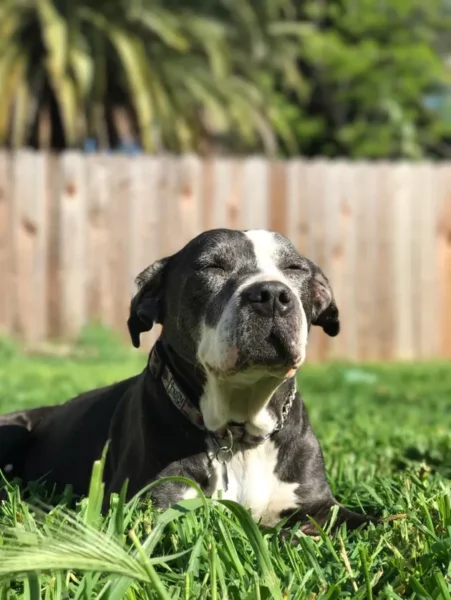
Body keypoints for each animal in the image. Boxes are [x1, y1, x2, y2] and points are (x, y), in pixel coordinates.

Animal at [0, 230, 378, 536]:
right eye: (212, 266)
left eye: (295, 268)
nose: (272, 294)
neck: (239, 432)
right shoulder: (153, 508)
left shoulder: (321, 504)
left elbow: (375, 522)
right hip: (13, 430)